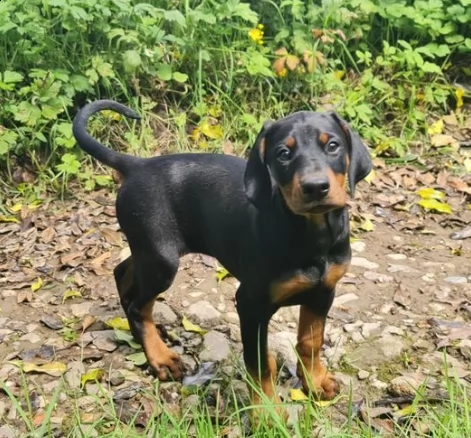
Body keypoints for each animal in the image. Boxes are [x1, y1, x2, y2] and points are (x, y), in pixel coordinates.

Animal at [72, 99, 372, 418]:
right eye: (283, 153)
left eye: (333, 146)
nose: (315, 187)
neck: (312, 234)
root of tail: (136, 165)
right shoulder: (251, 304)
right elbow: (260, 363)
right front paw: (267, 412)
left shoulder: (324, 291)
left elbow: (310, 342)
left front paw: (315, 382)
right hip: (162, 260)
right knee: (138, 305)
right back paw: (160, 357)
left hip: (150, 252)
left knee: (124, 273)